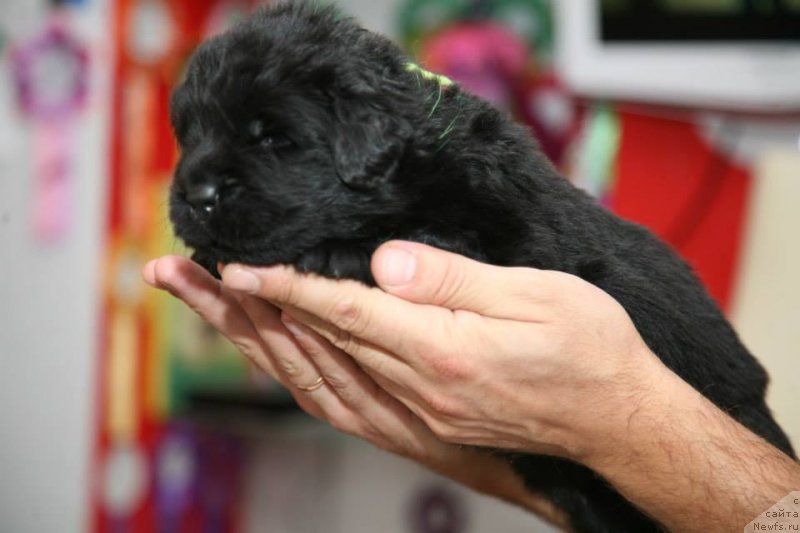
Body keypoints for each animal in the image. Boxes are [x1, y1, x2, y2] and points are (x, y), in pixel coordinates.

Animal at [170, 2, 792, 528]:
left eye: (274, 138)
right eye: (190, 134)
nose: (195, 194)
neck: (417, 154)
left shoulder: (504, 244)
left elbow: (421, 237)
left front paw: (336, 251)